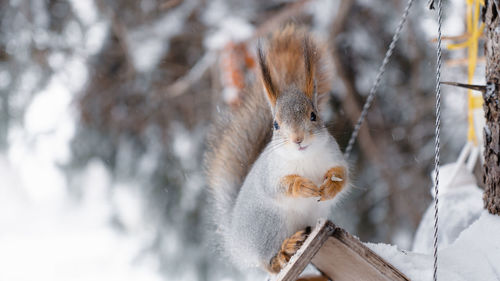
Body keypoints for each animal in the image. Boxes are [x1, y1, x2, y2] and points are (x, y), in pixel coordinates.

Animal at [205, 24, 350, 274]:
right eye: (275, 125)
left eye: (314, 115)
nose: (297, 139)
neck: (304, 158)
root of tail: (235, 240)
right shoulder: (270, 172)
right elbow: (276, 187)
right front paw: (301, 186)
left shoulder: (334, 155)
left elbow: (344, 175)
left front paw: (331, 185)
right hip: (269, 225)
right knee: (268, 263)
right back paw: (284, 250)